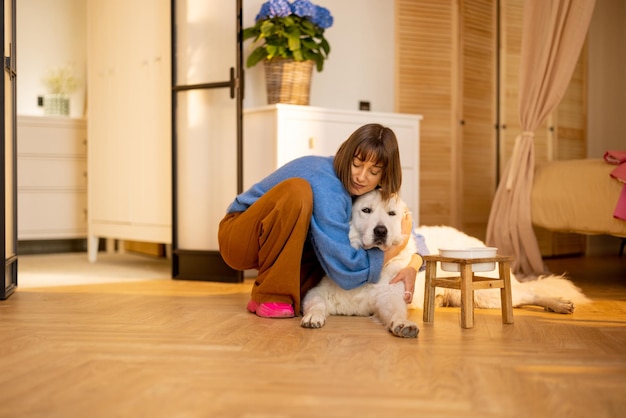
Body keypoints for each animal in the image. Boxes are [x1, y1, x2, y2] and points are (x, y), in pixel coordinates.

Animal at [300, 191, 588, 338]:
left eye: (392, 214)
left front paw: (402, 325)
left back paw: (558, 303)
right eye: (366, 211)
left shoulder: (390, 298)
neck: (370, 261)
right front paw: (312, 317)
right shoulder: (317, 293)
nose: (381, 231)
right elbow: (316, 303)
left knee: (530, 292)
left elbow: (395, 313)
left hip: (487, 296)